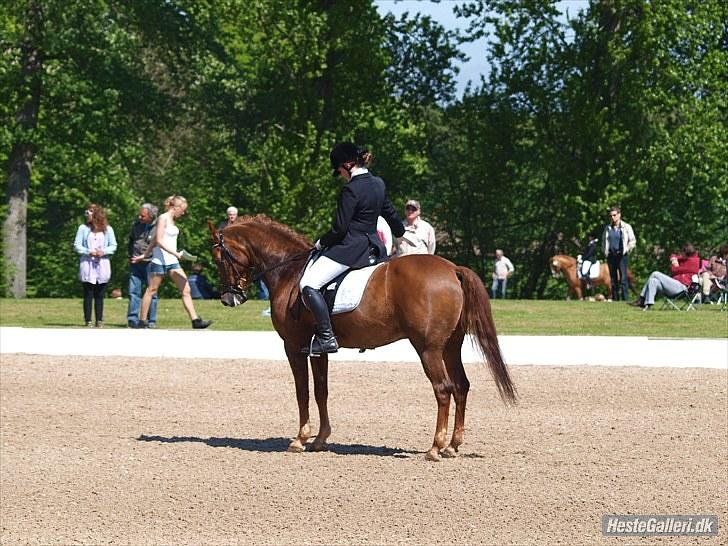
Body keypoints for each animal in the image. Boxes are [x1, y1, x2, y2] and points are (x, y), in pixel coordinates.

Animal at [209, 215, 516, 461]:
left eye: (219, 258)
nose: (228, 298)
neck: (288, 271)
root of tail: (452, 269)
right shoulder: (318, 349)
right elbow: (321, 390)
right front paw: (320, 439)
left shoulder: (294, 346)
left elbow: (302, 391)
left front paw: (299, 439)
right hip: (451, 347)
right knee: (461, 386)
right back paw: (452, 445)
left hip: (428, 349)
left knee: (443, 389)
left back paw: (434, 448)